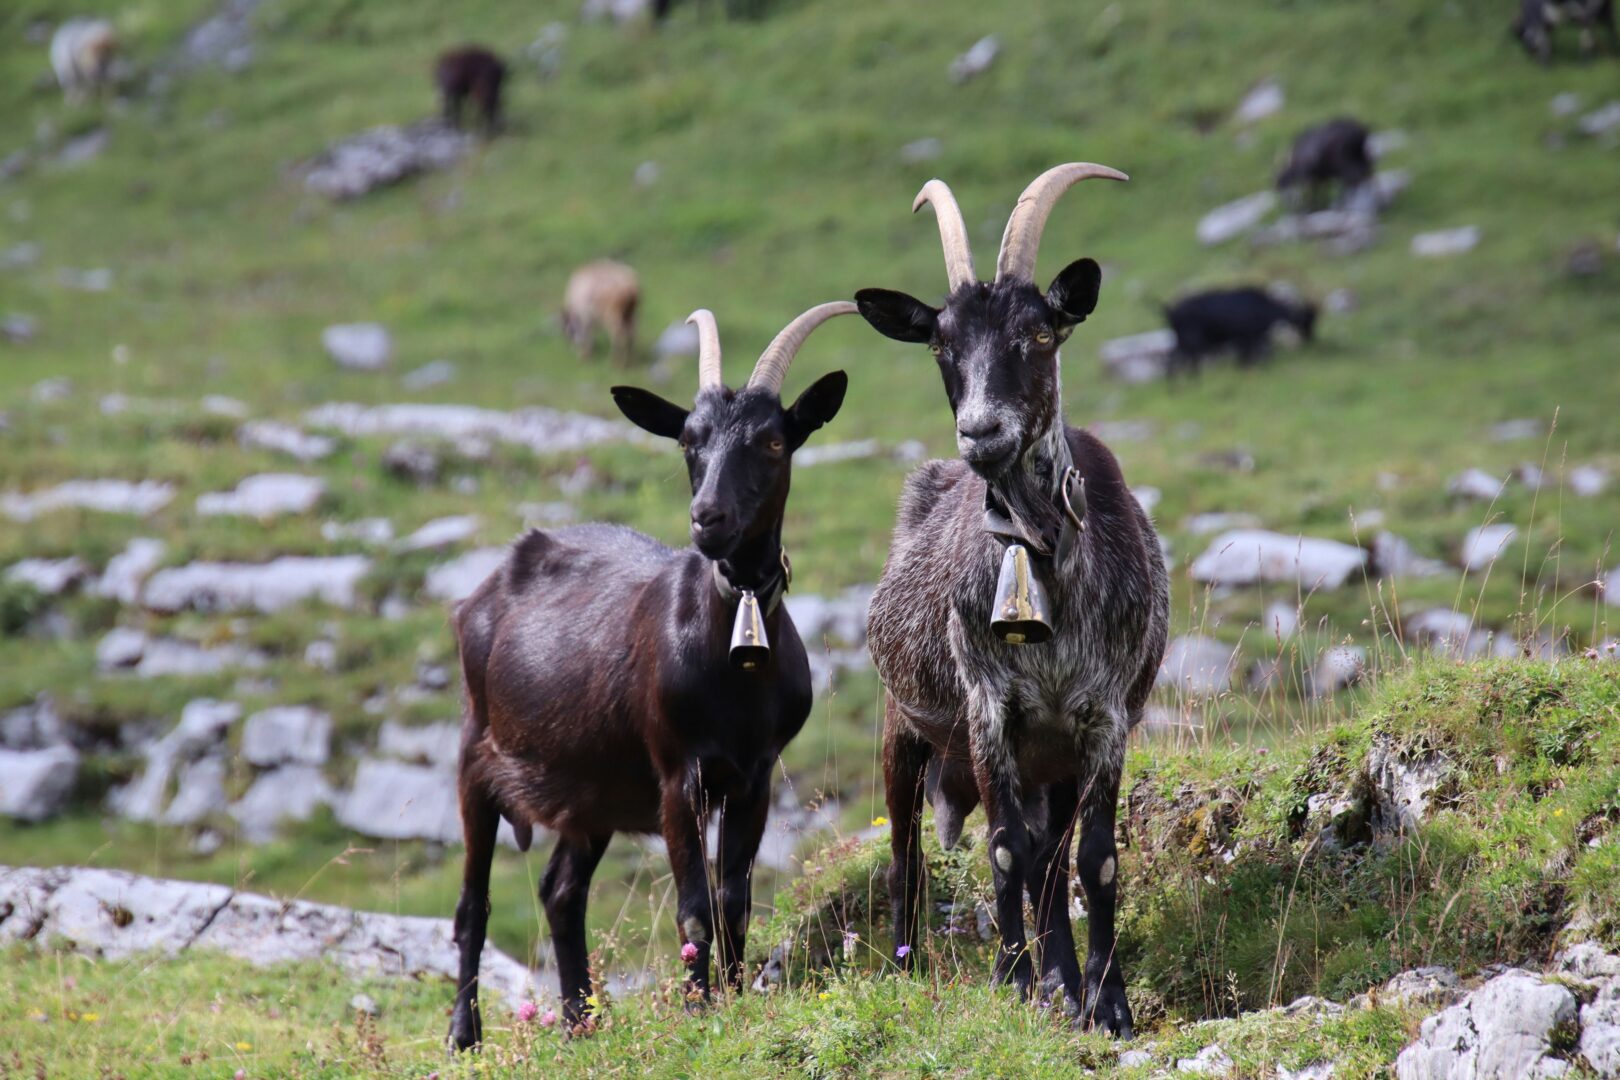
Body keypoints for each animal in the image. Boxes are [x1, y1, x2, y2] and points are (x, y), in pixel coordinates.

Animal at [437, 302, 855, 1049]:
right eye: (688, 440)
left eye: (774, 442)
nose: (708, 518)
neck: (734, 669)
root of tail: (486, 586)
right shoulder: (676, 772)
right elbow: (693, 907)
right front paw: (699, 1011)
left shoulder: (754, 776)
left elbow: (735, 900)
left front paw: (736, 1002)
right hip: (477, 756)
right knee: (472, 904)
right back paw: (465, 1036)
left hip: (591, 790)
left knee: (561, 891)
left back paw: (581, 1023)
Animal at [855, 165, 1172, 1036]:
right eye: (941, 342)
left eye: (1038, 334)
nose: (982, 433)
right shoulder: (989, 708)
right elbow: (1002, 849)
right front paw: (1014, 983)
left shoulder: (1102, 716)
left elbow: (1094, 859)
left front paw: (1105, 1000)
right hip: (907, 729)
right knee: (909, 853)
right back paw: (913, 965)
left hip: (1050, 758)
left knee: (1051, 858)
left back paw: (1063, 974)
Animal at [1166, 284, 1315, 378]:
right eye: (1307, 321)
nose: (1309, 339)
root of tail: (1173, 313)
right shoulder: (1247, 336)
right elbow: (1249, 355)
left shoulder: (1250, 336)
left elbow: (1252, 354)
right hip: (1189, 340)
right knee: (1177, 359)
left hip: (1183, 340)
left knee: (1175, 358)